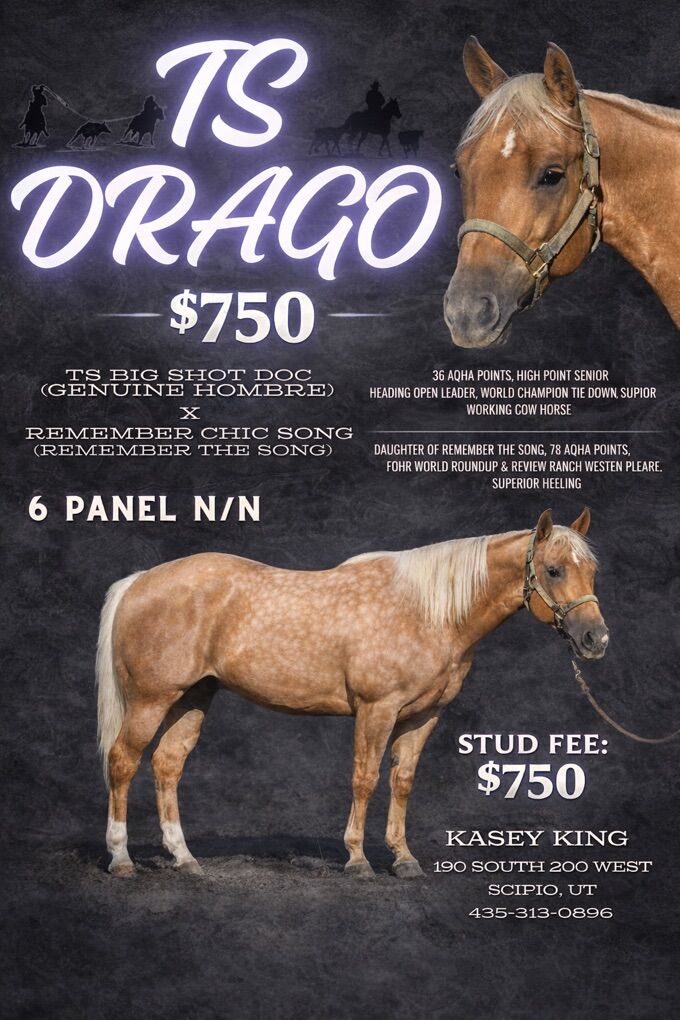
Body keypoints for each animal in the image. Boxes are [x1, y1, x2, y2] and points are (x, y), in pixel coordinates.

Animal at [97, 508, 608, 880]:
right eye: (553, 570)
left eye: (591, 570)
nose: (594, 639)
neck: (428, 612)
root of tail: (139, 581)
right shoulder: (376, 709)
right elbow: (365, 779)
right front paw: (358, 860)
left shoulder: (423, 717)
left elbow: (402, 781)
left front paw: (404, 859)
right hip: (150, 700)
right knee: (123, 761)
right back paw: (121, 860)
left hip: (192, 697)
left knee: (167, 765)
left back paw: (185, 859)